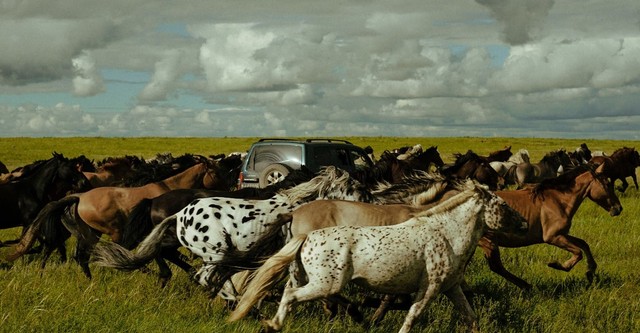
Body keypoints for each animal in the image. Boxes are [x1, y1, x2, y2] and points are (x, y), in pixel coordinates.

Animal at [5, 156, 230, 278]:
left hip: (90, 233)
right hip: (108, 232)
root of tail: (80, 196)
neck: (169, 188)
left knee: (81, 256)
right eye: (218, 173)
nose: (229, 190)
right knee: (94, 254)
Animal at [228, 180, 528, 332]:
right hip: (326, 283)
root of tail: (306, 234)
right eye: (502, 205)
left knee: (288, 293)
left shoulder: (451, 287)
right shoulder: (429, 287)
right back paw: (275, 324)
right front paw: (372, 318)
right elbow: (410, 315)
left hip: (306, 277)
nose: (525, 223)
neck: (445, 233)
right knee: (291, 296)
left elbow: (470, 317)